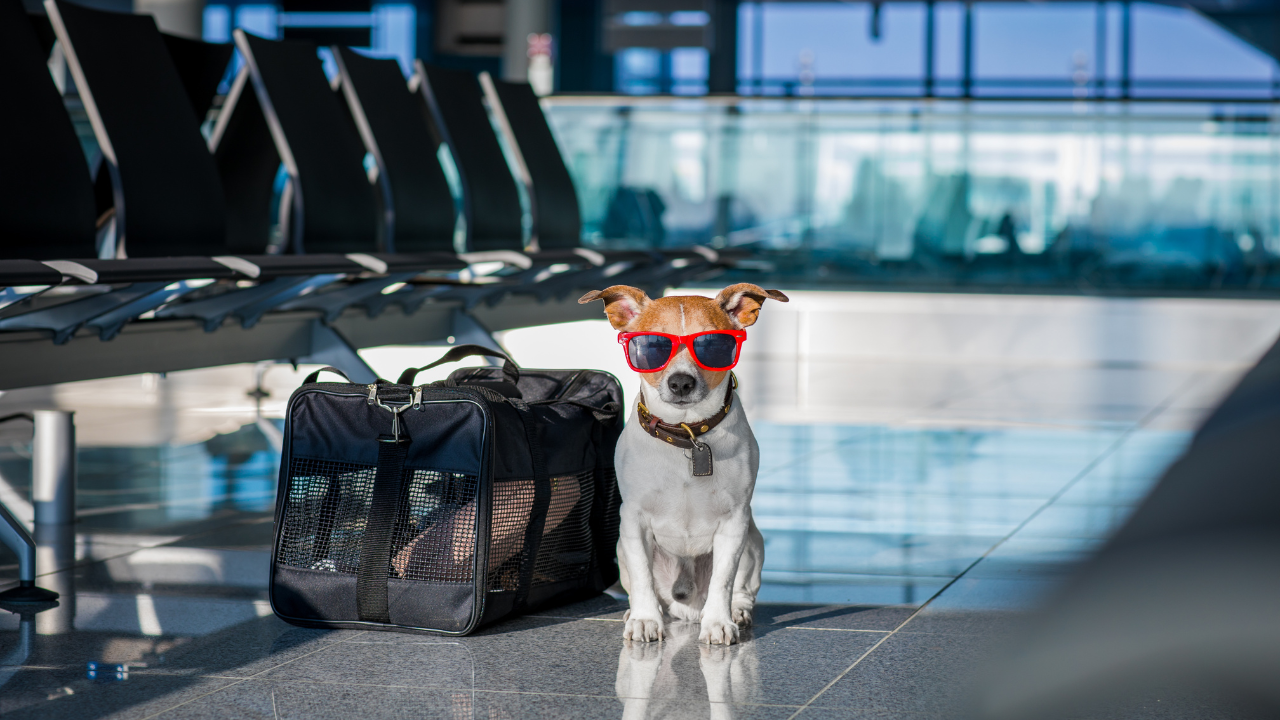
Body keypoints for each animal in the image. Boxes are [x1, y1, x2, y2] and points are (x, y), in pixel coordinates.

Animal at [583, 281, 788, 645]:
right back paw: (639, 611)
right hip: (621, 547)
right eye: (651, 346)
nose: (680, 382)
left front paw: (719, 622)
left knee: (740, 590)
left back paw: (736, 611)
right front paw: (645, 619)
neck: (687, 433)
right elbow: (642, 577)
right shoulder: (633, 521)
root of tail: (687, 608)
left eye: (712, 344)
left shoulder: (734, 522)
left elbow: (723, 580)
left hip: (752, 541)